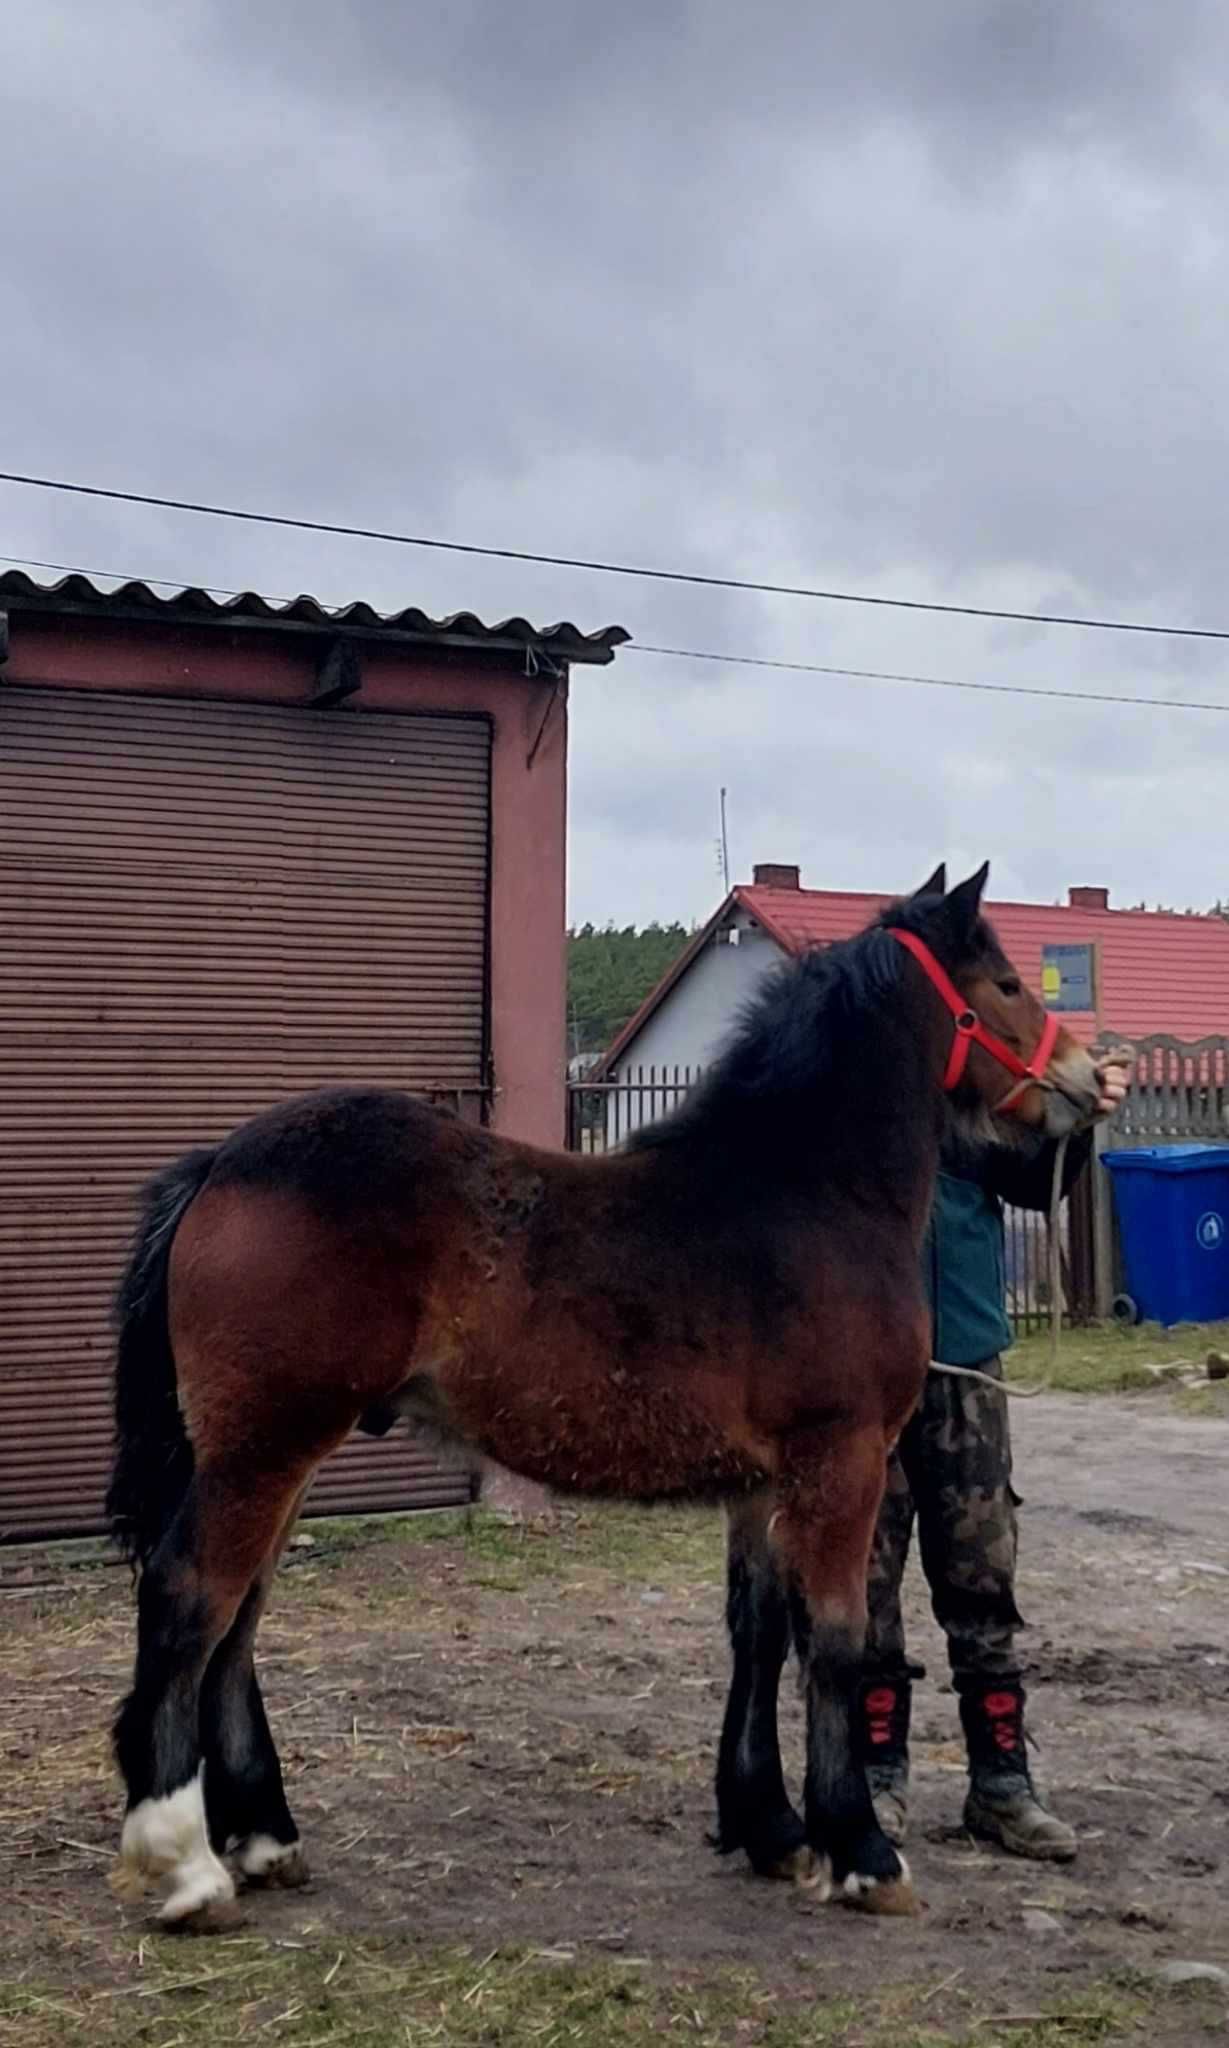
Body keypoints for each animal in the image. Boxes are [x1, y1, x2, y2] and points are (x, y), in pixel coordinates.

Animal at [105, 856, 1097, 1925]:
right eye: (1005, 983)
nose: (1086, 1082)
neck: (807, 1193)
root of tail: (219, 1163)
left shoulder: (759, 1484)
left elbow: (758, 1637)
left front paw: (770, 1827)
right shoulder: (839, 1461)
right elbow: (834, 1641)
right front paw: (861, 1850)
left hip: (274, 1452)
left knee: (239, 1618)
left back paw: (265, 1836)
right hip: (265, 1447)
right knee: (192, 1596)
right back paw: (184, 1861)